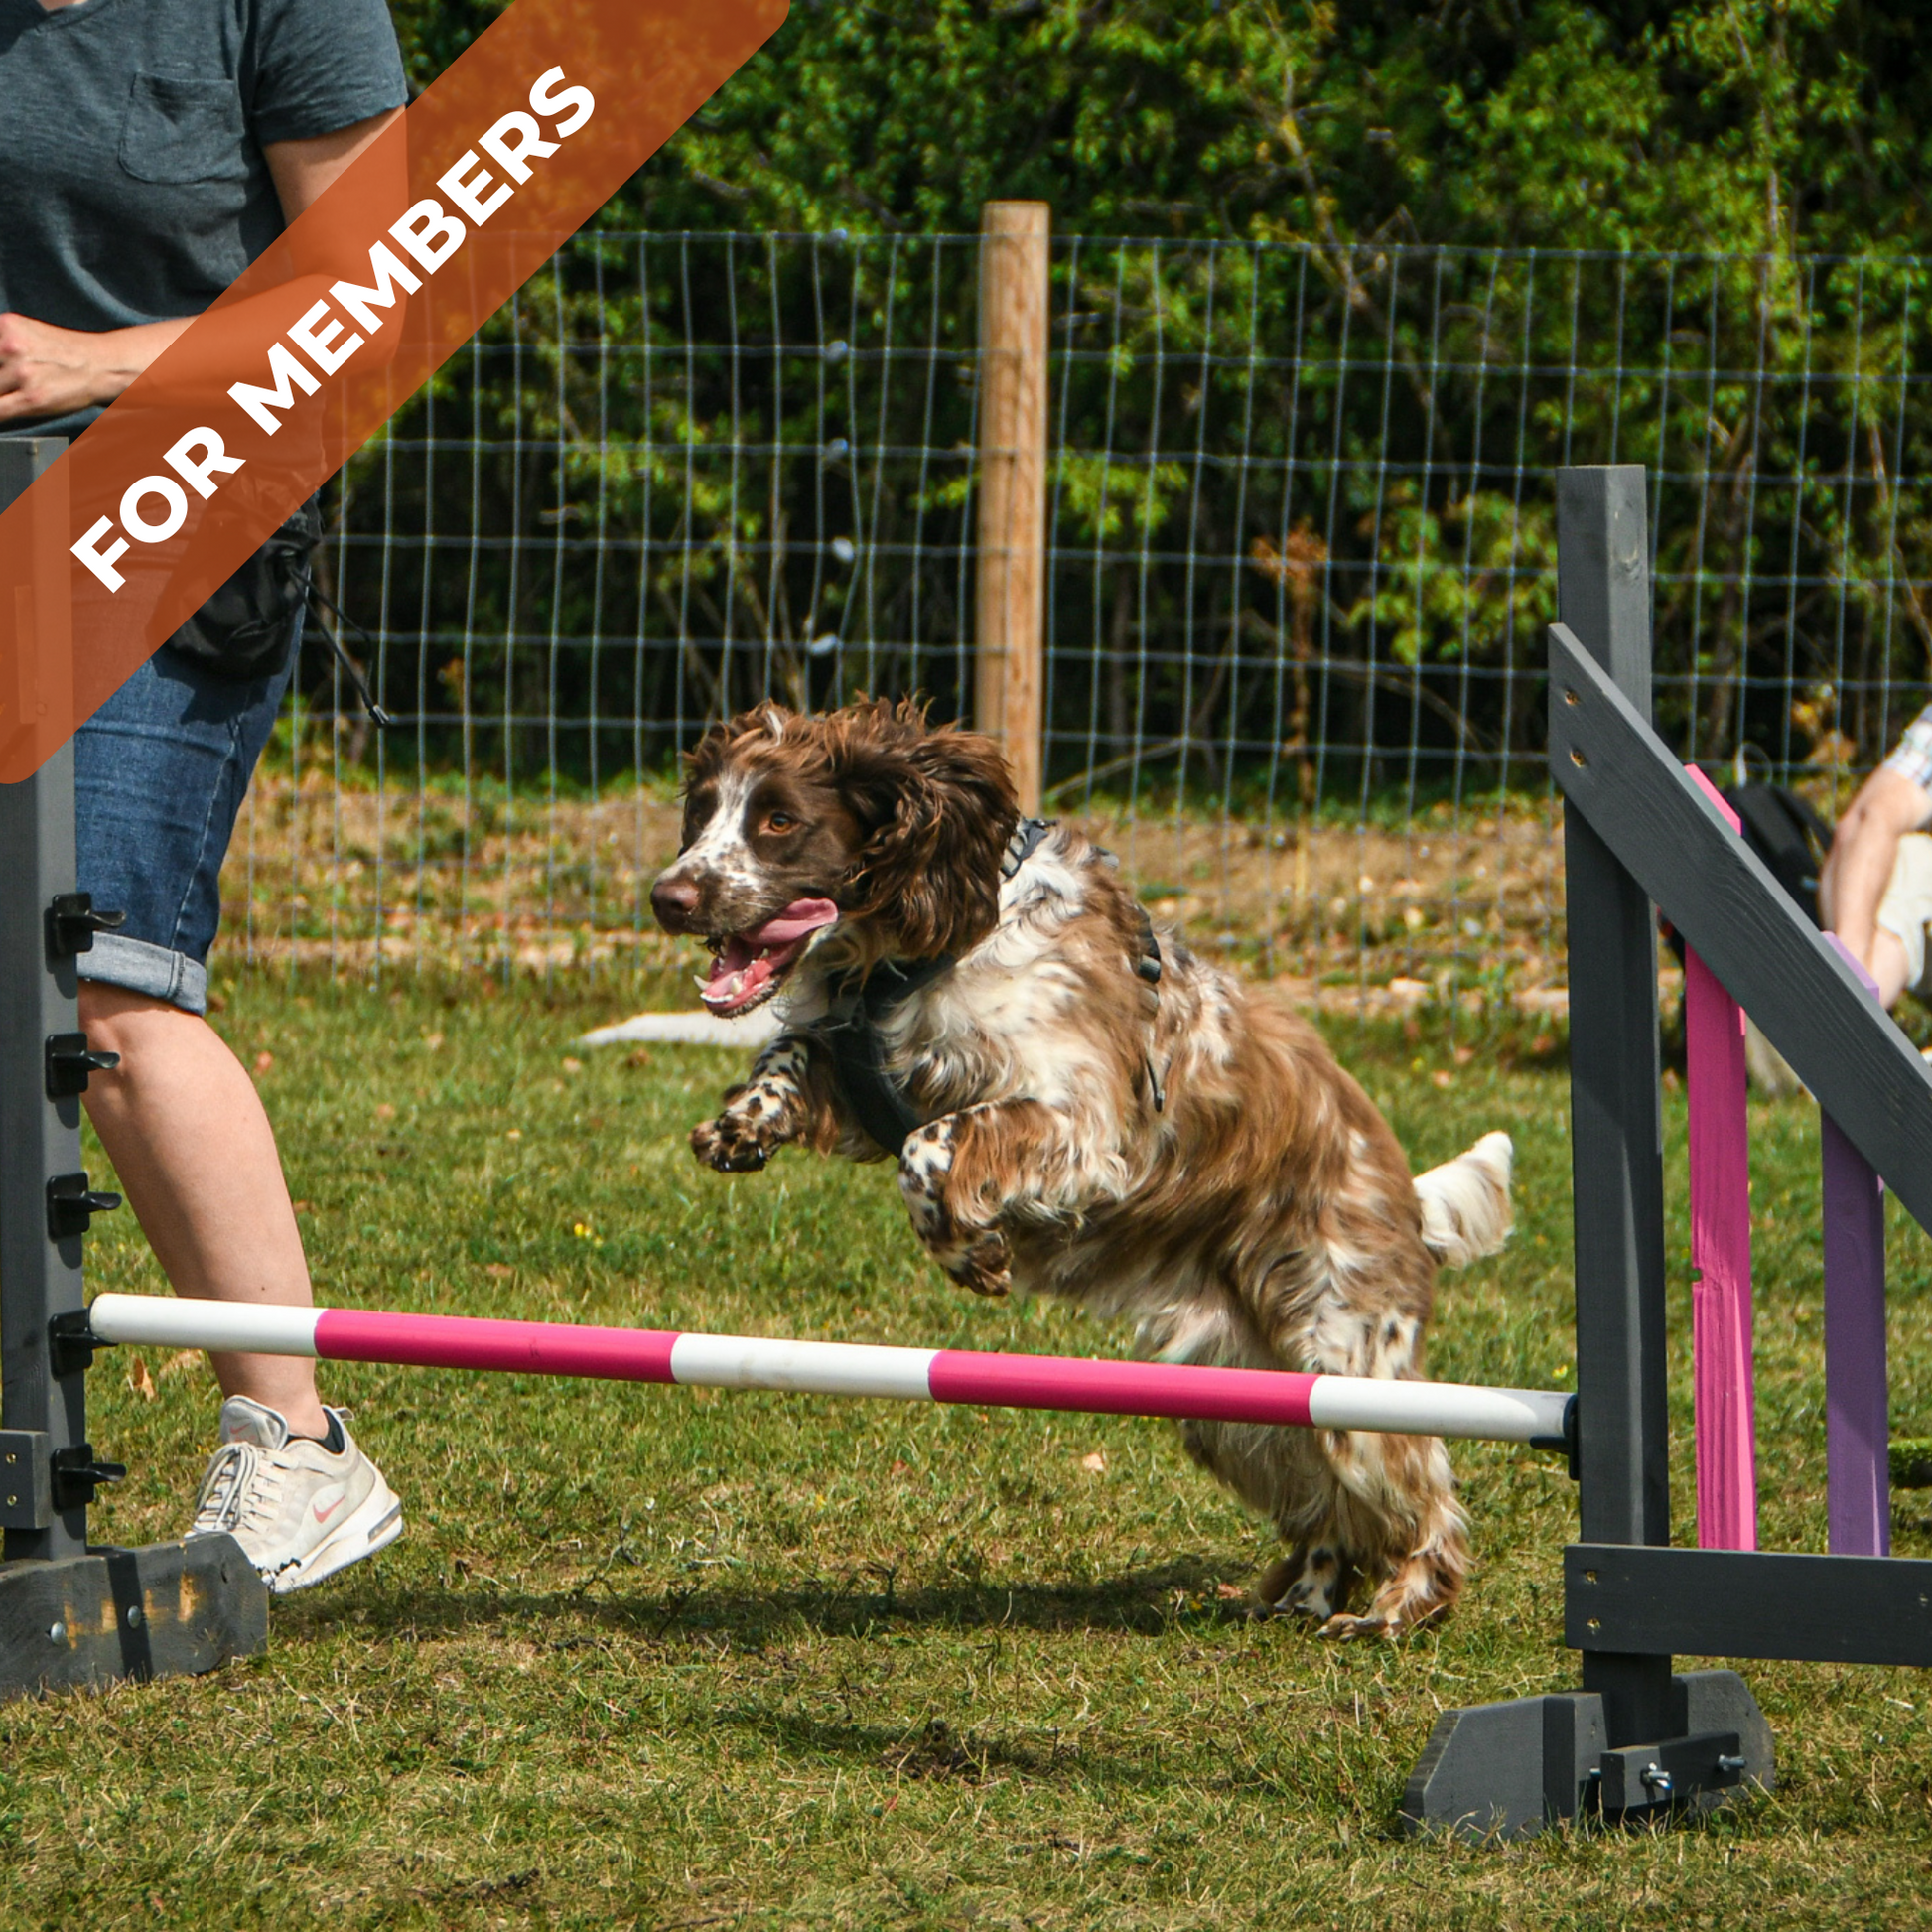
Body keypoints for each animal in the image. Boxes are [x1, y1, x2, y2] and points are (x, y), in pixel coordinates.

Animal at [656, 695, 1514, 1630]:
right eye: (701, 811)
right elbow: (792, 1054)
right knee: (1325, 1501)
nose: (668, 897)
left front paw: (973, 1253)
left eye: (779, 819)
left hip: (1348, 1358)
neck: (927, 937)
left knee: (1420, 1489)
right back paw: (1307, 1598)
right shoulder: (864, 1069)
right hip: (1234, 1402)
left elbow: (930, 1148)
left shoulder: (1082, 1126)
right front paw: (739, 1124)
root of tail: (1410, 1205)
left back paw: (1399, 1607)